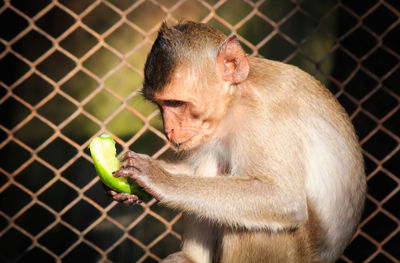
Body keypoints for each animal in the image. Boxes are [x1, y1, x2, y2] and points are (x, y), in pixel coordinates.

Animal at [108, 21, 366, 263]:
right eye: (160, 104)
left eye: (175, 103)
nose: (168, 129)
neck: (236, 95)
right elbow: (195, 167)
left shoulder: (263, 117)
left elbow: (282, 197)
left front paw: (161, 180)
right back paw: (189, 258)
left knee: (257, 225)